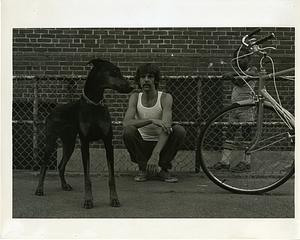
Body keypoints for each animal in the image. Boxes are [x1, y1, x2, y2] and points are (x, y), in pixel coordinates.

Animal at [34, 58, 132, 208]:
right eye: (114, 71)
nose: (131, 87)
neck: (94, 104)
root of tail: (53, 110)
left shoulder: (108, 142)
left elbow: (111, 176)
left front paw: (114, 199)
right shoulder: (85, 143)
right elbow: (87, 177)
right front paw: (88, 200)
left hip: (69, 142)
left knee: (61, 165)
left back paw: (64, 185)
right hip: (50, 141)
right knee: (44, 165)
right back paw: (39, 188)